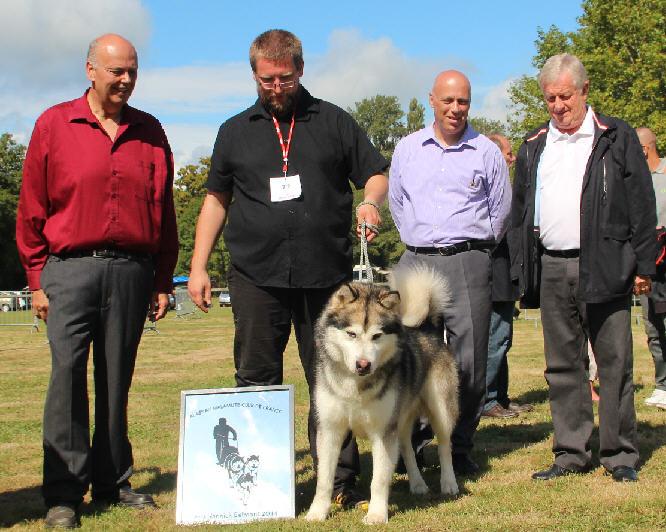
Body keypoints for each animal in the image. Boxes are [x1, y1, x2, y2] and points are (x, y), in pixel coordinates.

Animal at [304, 266, 456, 524]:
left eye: (376, 336)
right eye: (351, 334)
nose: (363, 364)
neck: (355, 386)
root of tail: (424, 328)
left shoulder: (383, 432)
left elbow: (379, 480)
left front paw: (376, 515)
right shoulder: (330, 429)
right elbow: (324, 479)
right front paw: (317, 513)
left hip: (441, 412)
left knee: (445, 447)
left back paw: (449, 483)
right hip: (401, 418)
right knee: (407, 448)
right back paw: (417, 484)